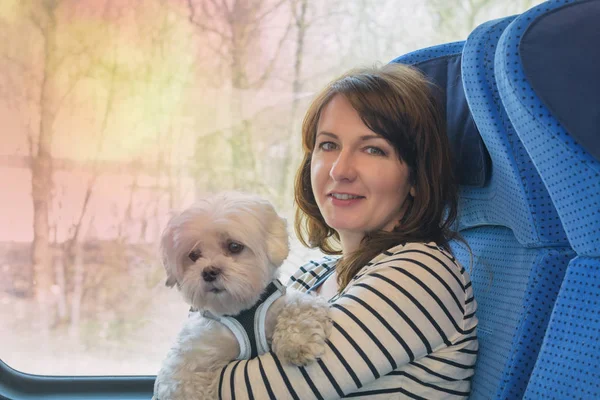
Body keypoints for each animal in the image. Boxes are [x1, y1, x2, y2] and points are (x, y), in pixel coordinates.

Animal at [154, 192, 332, 398]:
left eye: (234, 246)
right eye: (193, 255)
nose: (209, 272)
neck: (242, 309)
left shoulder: (288, 302)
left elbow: (299, 308)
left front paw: (297, 343)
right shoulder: (195, 351)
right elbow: (182, 382)